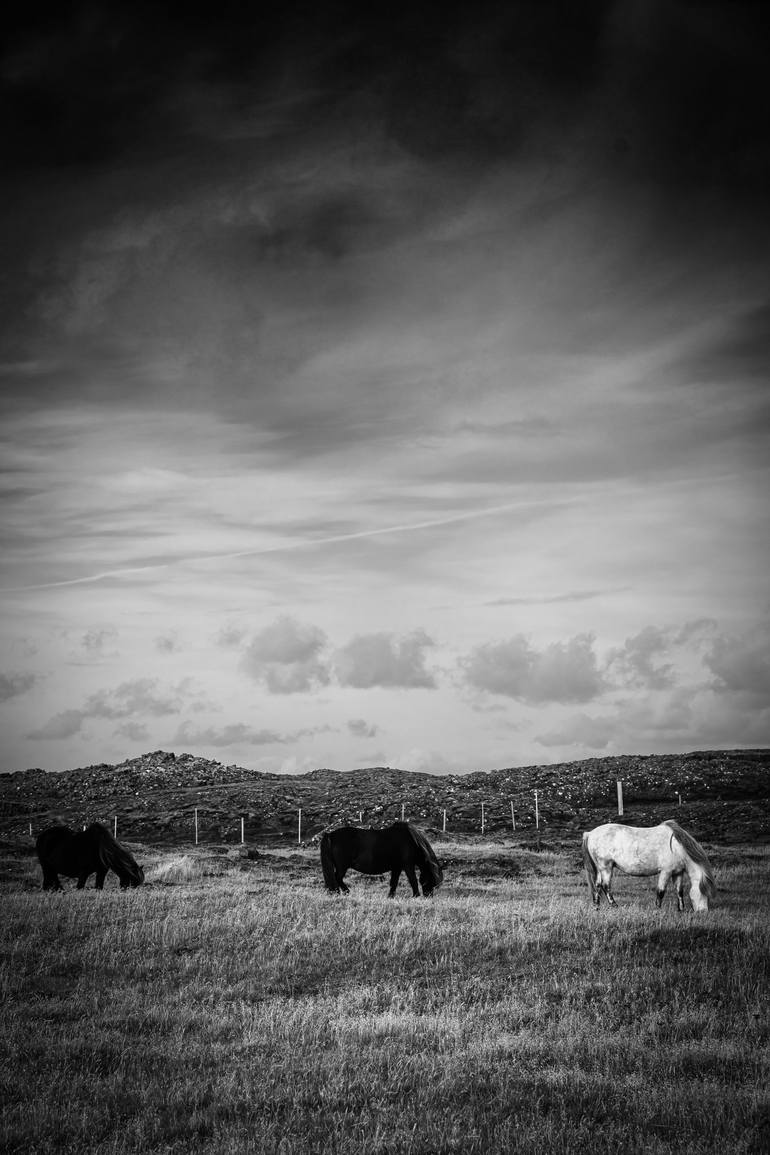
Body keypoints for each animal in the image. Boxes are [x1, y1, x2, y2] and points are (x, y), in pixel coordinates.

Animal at [584, 822, 715, 910]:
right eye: (704, 894)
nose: (703, 912)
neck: (677, 847)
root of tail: (590, 833)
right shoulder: (666, 872)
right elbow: (661, 891)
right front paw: (658, 908)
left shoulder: (678, 873)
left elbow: (679, 891)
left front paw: (681, 909)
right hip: (606, 867)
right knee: (606, 886)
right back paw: (614, 905)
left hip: (600, 869)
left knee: (597, 885)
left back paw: (597, 906)